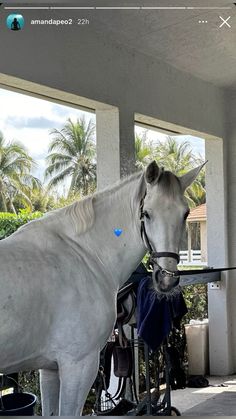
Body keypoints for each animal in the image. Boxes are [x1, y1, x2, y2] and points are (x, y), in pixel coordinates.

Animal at [0, 162, 203, 416]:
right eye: (147, 213)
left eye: (185, 213)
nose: (166, 279)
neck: (84, 254)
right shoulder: (78, 366)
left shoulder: (50, 369)